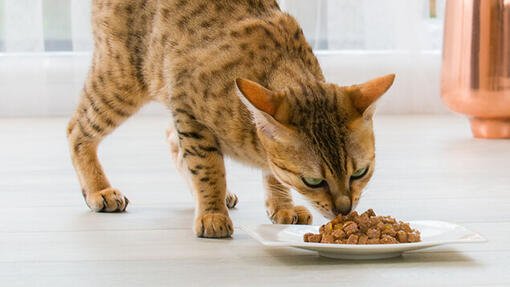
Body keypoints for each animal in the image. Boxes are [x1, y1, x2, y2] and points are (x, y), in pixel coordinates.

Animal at [66, 0, 394, 238]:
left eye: (360, 173)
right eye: (313, 181)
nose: (344, 210)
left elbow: (271, 173)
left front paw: (282, 206)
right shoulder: (189, 110)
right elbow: (208, 168)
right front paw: (211, 213)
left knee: (170, 137)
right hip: (123, 78)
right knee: (76, 129)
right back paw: (98, 190)